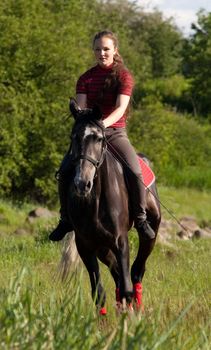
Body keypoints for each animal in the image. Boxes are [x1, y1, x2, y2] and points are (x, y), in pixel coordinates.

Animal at [67, 98, 161, 314]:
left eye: (99, 139)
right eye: (74, 137)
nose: (82, 183)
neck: (95, 202)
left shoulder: (120, 241)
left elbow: (127, 288)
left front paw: (128, 319)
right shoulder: (85, 246)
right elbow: (99, 292)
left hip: (151, 232)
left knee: (136, 271)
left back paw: (137, 309)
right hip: (102, 247)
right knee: (118, 274)